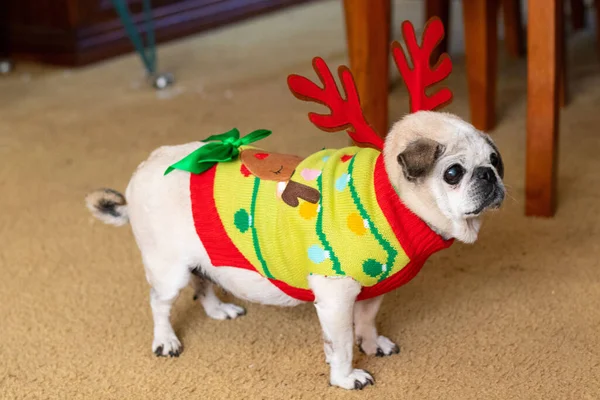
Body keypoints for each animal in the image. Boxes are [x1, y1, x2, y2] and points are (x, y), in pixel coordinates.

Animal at [86, 111, 504, 390]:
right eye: (453, 174)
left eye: (495, 161)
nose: (489, 175)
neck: (388, 197)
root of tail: (145, 168)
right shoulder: (335, 299)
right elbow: (341, 344)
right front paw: (345, 377)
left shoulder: (373, 290)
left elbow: (367, 321)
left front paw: (371, 344)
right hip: (168, 268)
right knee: (159, 302)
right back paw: (166, 341)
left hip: (204, 257)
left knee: (202, 283)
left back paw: (219, 310)